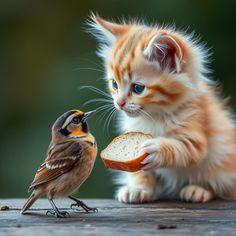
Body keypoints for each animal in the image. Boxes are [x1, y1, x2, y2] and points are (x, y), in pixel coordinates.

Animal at [88, 14, 236, 203]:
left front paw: (158, 149)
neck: (154, 115)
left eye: (138, 88)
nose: (119, 103)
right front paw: (138, 189)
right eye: (114, 84)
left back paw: (198, 190)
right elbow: (139, 172)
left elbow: (183, 149)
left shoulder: (195, 133)